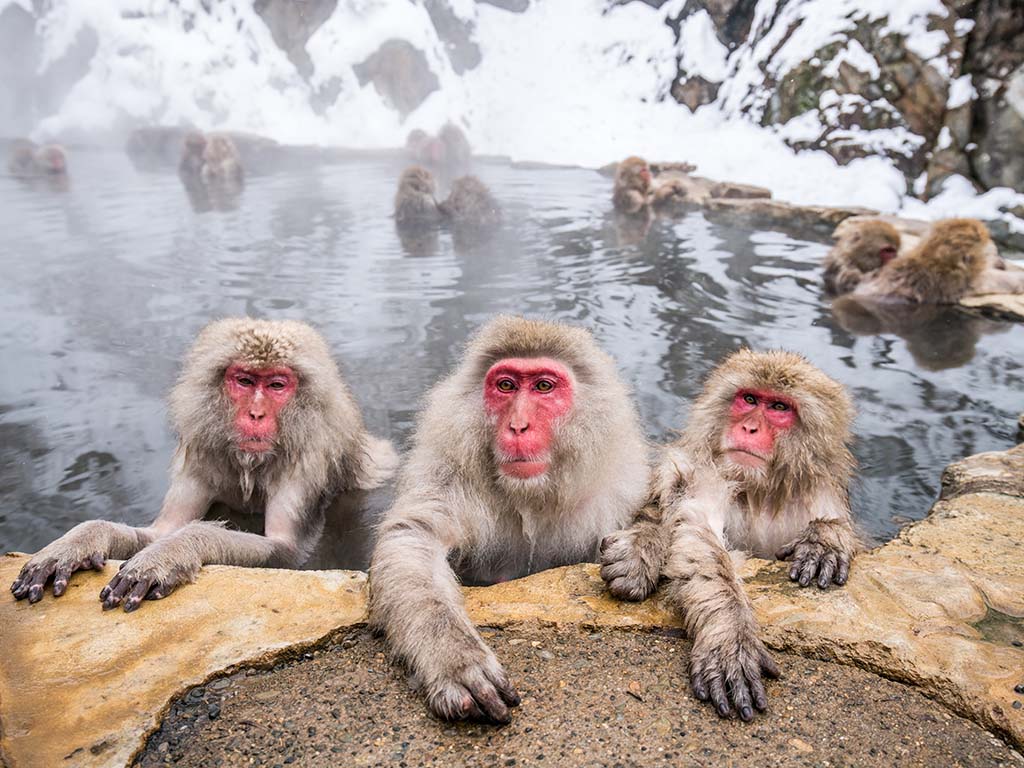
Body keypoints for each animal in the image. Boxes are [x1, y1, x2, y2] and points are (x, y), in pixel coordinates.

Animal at [12, 319, 395, 614]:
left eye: (276, 385)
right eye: (244, 381)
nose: (255, 414)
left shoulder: (306, 464)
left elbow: (287, 551)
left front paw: (172, 552)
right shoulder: (202, 456)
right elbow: (161, 530)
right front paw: (79, 541)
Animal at [370, 315, 647, 724]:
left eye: (544, 386)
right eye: (506, 386)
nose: (517, 426)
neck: (531, 497)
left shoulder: (620, 490)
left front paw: (640, 554)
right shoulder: (448, 475)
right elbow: (415, 537)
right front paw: (455, 658)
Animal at [598, 352, 856, 724]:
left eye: (779, 407)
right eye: (749, 399)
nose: (749, 428)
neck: (759, 493)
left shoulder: (817, 491)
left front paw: (825, 540)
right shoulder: (707, 473)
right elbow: (697, 531)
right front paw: (731, 635)